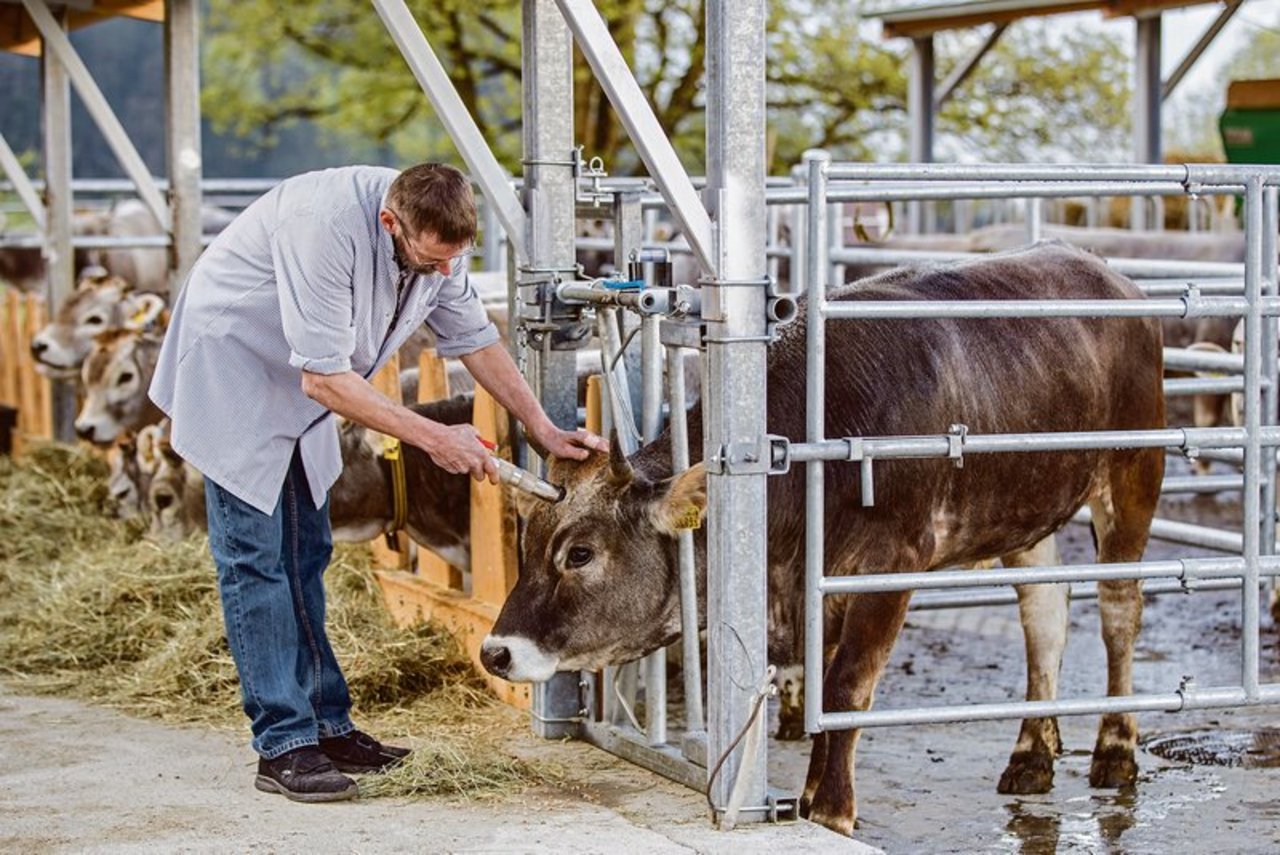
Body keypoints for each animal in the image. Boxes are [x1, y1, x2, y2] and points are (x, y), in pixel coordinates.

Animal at [478, 243, 1162, 839]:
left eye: (580, 553)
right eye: (529, 541)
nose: (496, 653)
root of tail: (1106, 272)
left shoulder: (890, 564)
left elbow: (845, 687)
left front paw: (831, 809)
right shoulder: (815, 580)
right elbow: (820, 689)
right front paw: (806, 798)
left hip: (1133, 474)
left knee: (1119, 611)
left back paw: (1115, 749)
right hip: (1027, 508)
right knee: (1044, 615)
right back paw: (1030, 755)